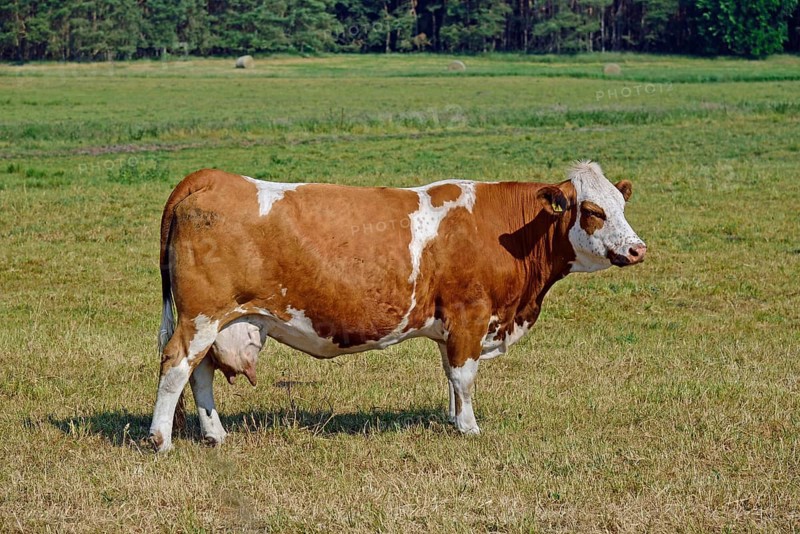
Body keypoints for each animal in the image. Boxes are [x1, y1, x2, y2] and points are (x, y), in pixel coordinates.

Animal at [149, 161, 646, 452]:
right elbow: (464, 376)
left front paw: (453, 419)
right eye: (594, 211)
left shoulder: (452, 325)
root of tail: (211, 177)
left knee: (201, 371)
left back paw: (215, 434)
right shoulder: (469, 314)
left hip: (216, 320)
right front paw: (469, 428)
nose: (638, 248)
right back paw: (161, 440)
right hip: (200, 316)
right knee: (176, 365)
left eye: (622, 205)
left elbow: (451, 376)